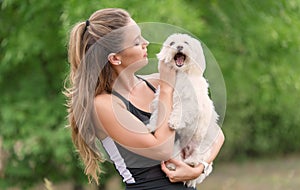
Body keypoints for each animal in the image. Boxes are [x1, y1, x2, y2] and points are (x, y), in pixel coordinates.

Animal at [149, 33, 219, 187]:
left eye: (186, 43)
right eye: (172, 43)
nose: (179, 47)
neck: (181, 74)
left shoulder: (190, 104)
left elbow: (179, 112)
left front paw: (174, 122)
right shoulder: (161, 97)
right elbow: (157, 113)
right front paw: (151, 125)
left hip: (204, 141)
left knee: (199, 154)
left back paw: (192, 161)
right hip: (175, 145)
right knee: (176, 158)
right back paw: (172, 165)